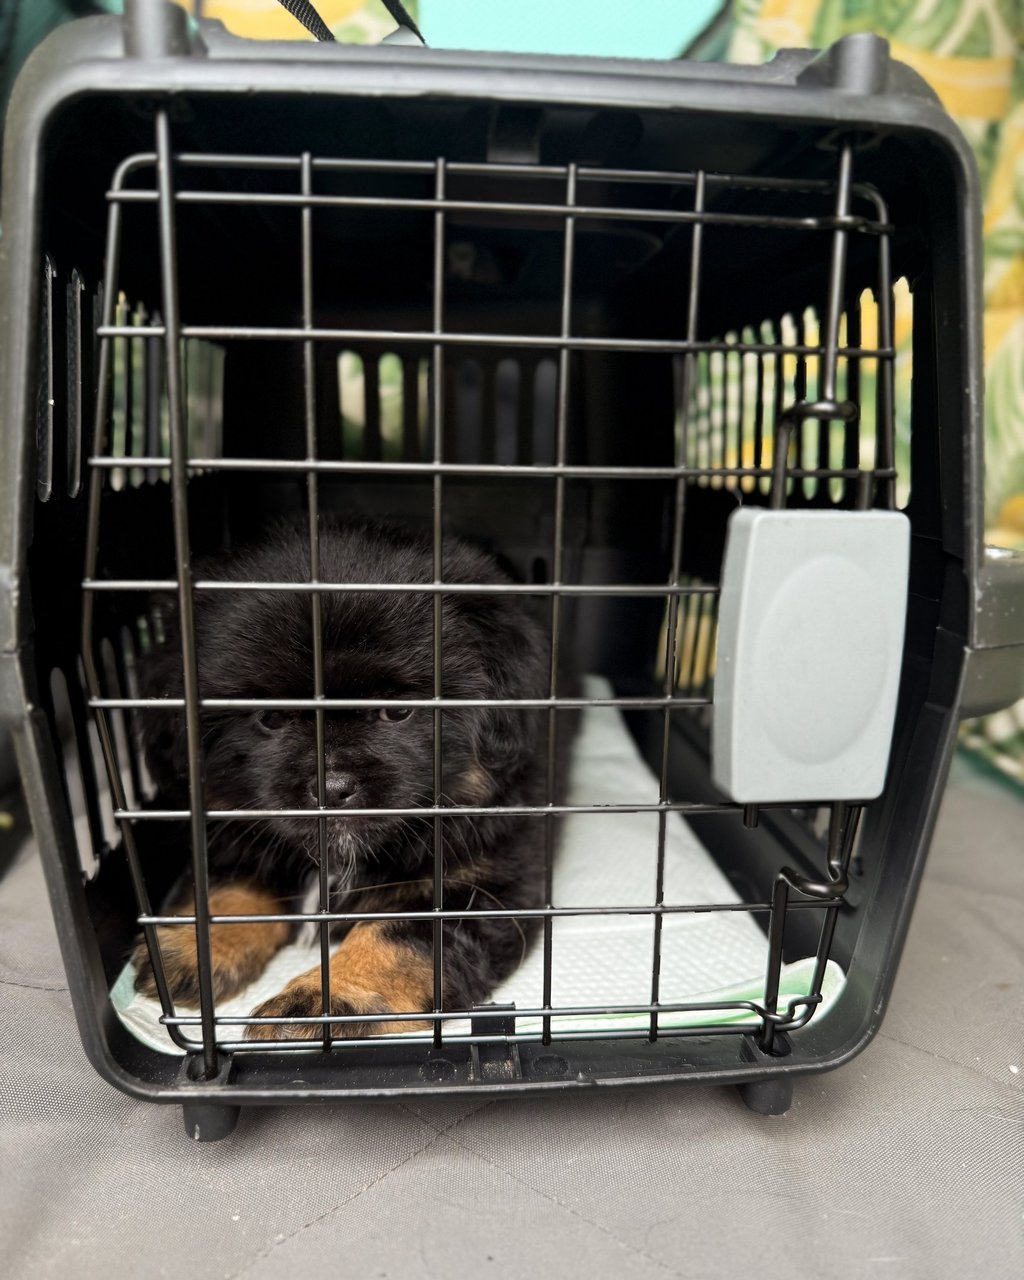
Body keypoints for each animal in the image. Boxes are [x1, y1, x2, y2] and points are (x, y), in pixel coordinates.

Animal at [131, 519, 556, 1039]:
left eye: (397, 711)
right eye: (270, 718)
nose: (331, 789)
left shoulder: (483, 885)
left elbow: (394, 936)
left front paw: (319, 1001)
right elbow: (232, 886)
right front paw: (191, 948)